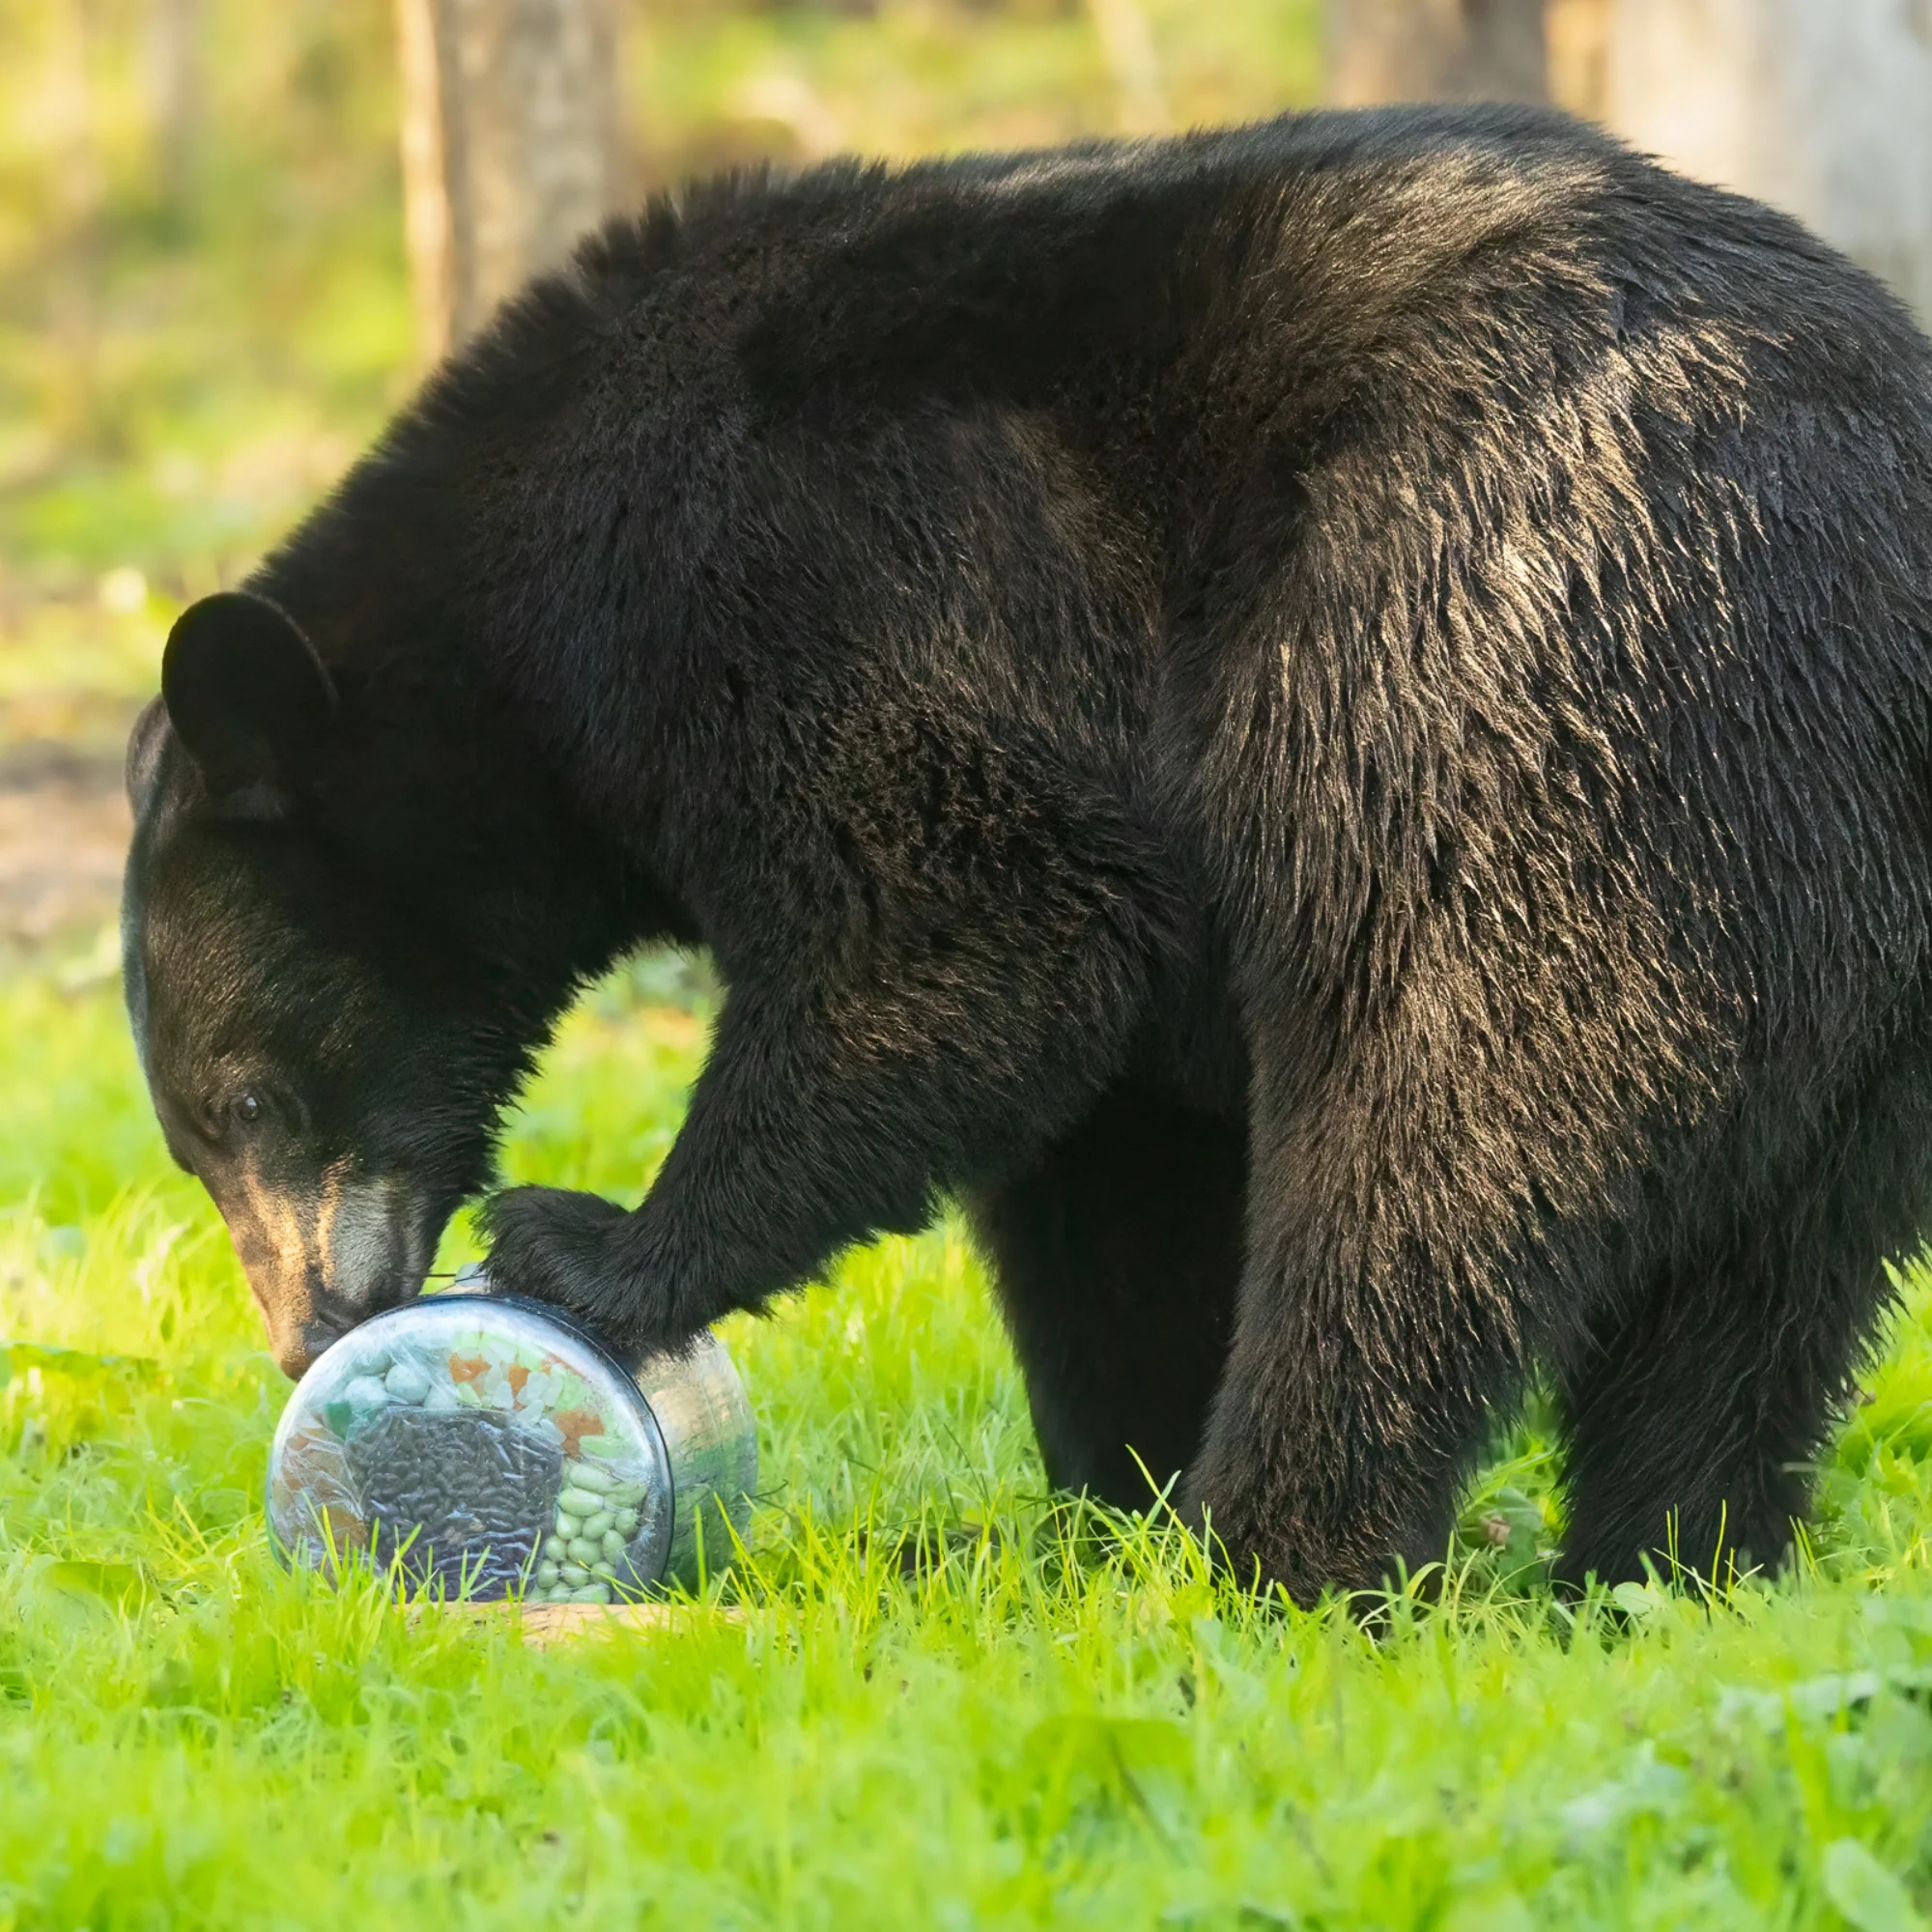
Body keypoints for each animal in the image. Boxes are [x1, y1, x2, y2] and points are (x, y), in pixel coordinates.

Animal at [122, 105, 1932, 1604]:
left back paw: (1275, 1552)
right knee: (1756, 1293)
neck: (527, 608)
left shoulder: (802, 564)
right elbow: (1105, 1157)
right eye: (197, 1145)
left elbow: (970, 922)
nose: (310, 1335)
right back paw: (1656, 1569)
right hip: (1843, 966)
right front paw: (1102, 1491)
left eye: (251, 1103)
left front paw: (588, 1242)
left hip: (1509, 693)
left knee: (1428, 1142)